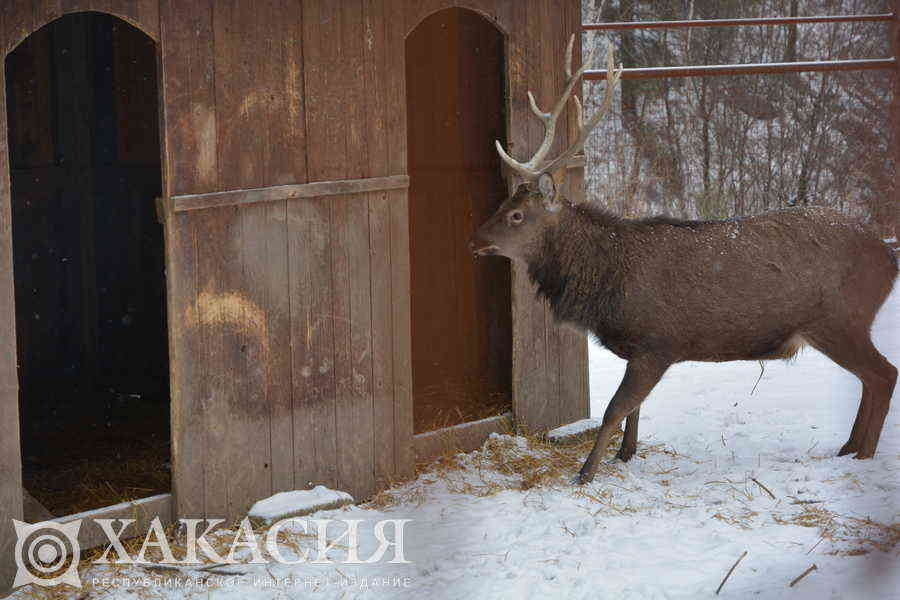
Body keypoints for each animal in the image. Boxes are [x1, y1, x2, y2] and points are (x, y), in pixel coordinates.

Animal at [472, 36, 900, 482]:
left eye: (517, 215)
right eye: (504, 204)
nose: (475, 240)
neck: (606, 287)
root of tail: (890, 257)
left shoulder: (657, 342)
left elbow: (614, 410)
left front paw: (585, 473)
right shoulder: (640, 351)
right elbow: (634, 411)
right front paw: (625, 455)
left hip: (840, 318)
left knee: (884, 374)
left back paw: (864, 454)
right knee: (874, 378)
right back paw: (848, 448)